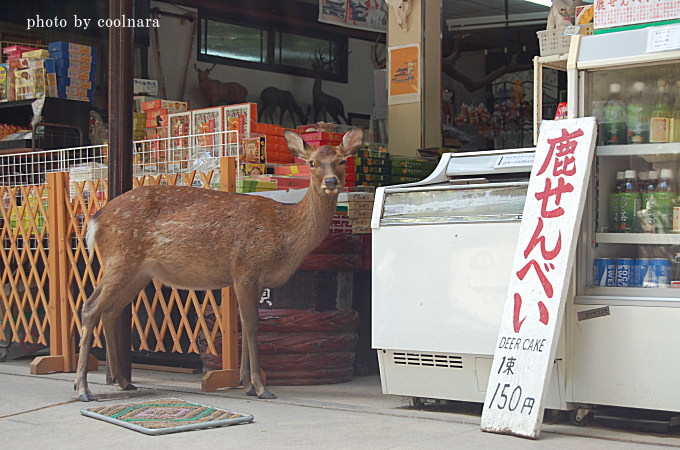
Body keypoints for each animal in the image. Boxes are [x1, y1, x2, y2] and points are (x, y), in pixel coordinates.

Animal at [73, 127, 364, 402]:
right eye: (312, 162)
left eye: (341, 160)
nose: (330, 181)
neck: (285, 234)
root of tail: (96, 219)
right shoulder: (246, 268)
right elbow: (252, 325)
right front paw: (261, 388)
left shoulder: (253, 279)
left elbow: (244, 325)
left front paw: (247, 385)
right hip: (120, 258)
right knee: (90, 307)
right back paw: (83, 388)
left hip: (138, 271)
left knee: (110, 312)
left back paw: (124, 381)